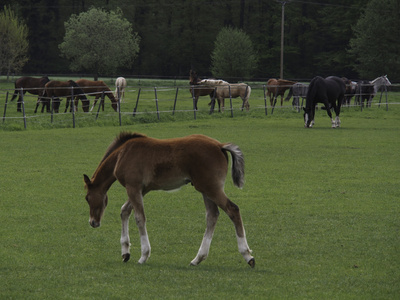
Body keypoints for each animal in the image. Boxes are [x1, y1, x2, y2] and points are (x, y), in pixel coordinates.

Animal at [83, 132, 255, 268]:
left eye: (87, 198)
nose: (93, 222)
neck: (122, 154)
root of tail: (220, 145)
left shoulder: (133, 187)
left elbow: (139, 218)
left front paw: (144, 255)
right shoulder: (142, 190)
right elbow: (124, 211)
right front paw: (125, 252)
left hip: (211, 188)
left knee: (232, 209)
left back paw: (247, 255)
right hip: (205, 189)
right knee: (212, 215)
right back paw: (197, 259)